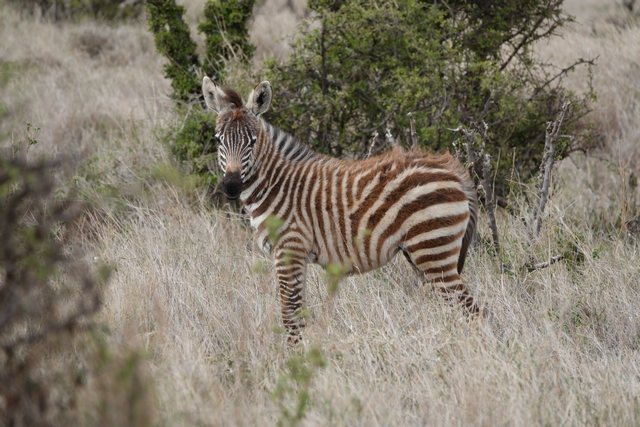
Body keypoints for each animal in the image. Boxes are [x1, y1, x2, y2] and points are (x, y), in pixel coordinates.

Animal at [202, 77, 480, 342]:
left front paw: (294, 356)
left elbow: (289, 313)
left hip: (433, 248)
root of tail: (455, 170)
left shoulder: (289, 247)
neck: (275, 184)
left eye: (252, 141)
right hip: (423, 253)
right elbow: (298, 312)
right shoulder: (296, 254)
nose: (231, 187)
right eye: (218, 140)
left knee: (470, 308)